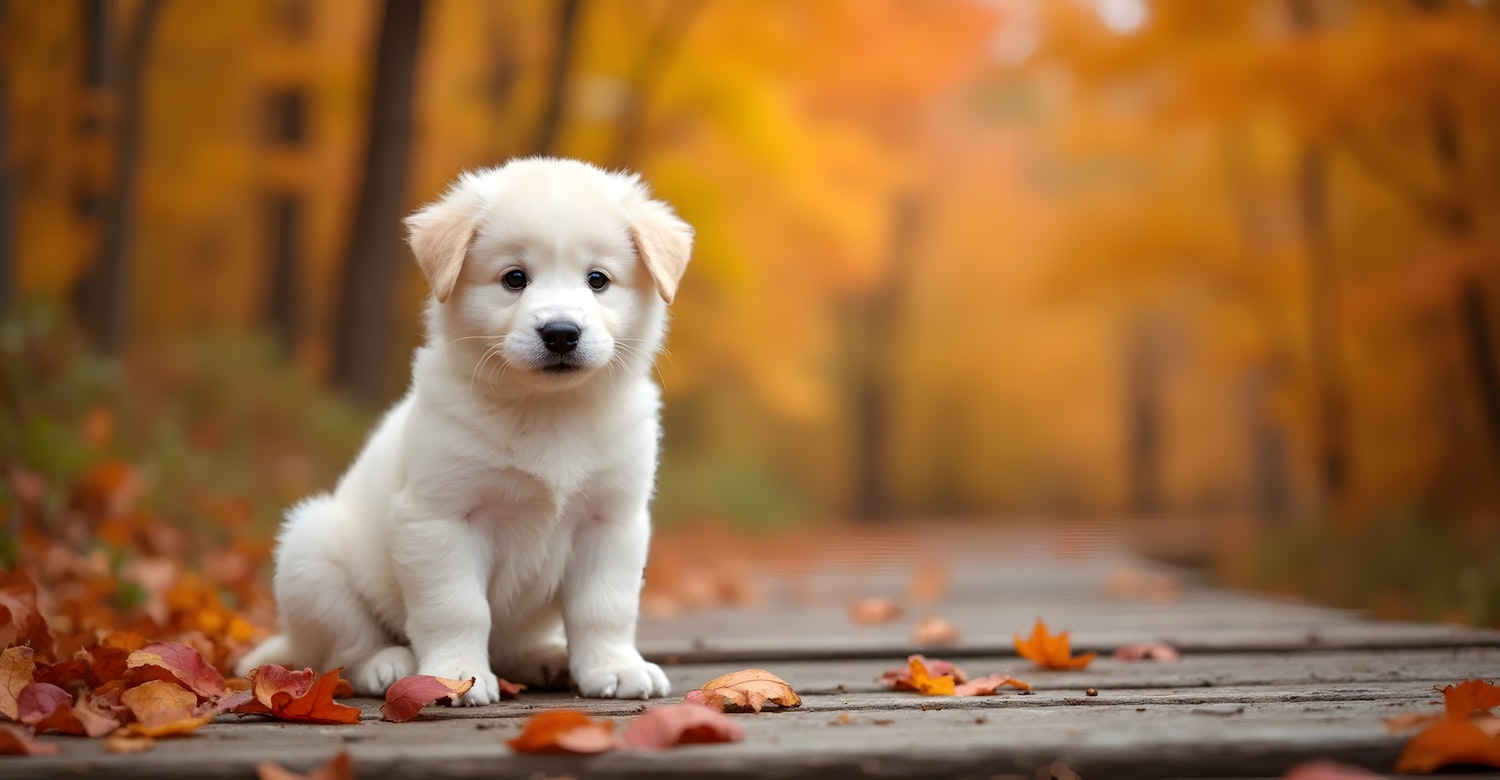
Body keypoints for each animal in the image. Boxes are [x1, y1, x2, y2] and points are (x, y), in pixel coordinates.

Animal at [237, 156, 693, 702]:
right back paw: (388, 663)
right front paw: (455, 674)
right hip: (311, 554)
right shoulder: (440, 518)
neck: (548, 410)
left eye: (598, 279)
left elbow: (605, 608)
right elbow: (457, 608)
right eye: (514, 278)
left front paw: (614, 667)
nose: (561, 333)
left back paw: (544, 657)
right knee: (345, 648)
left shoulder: (611, 520)